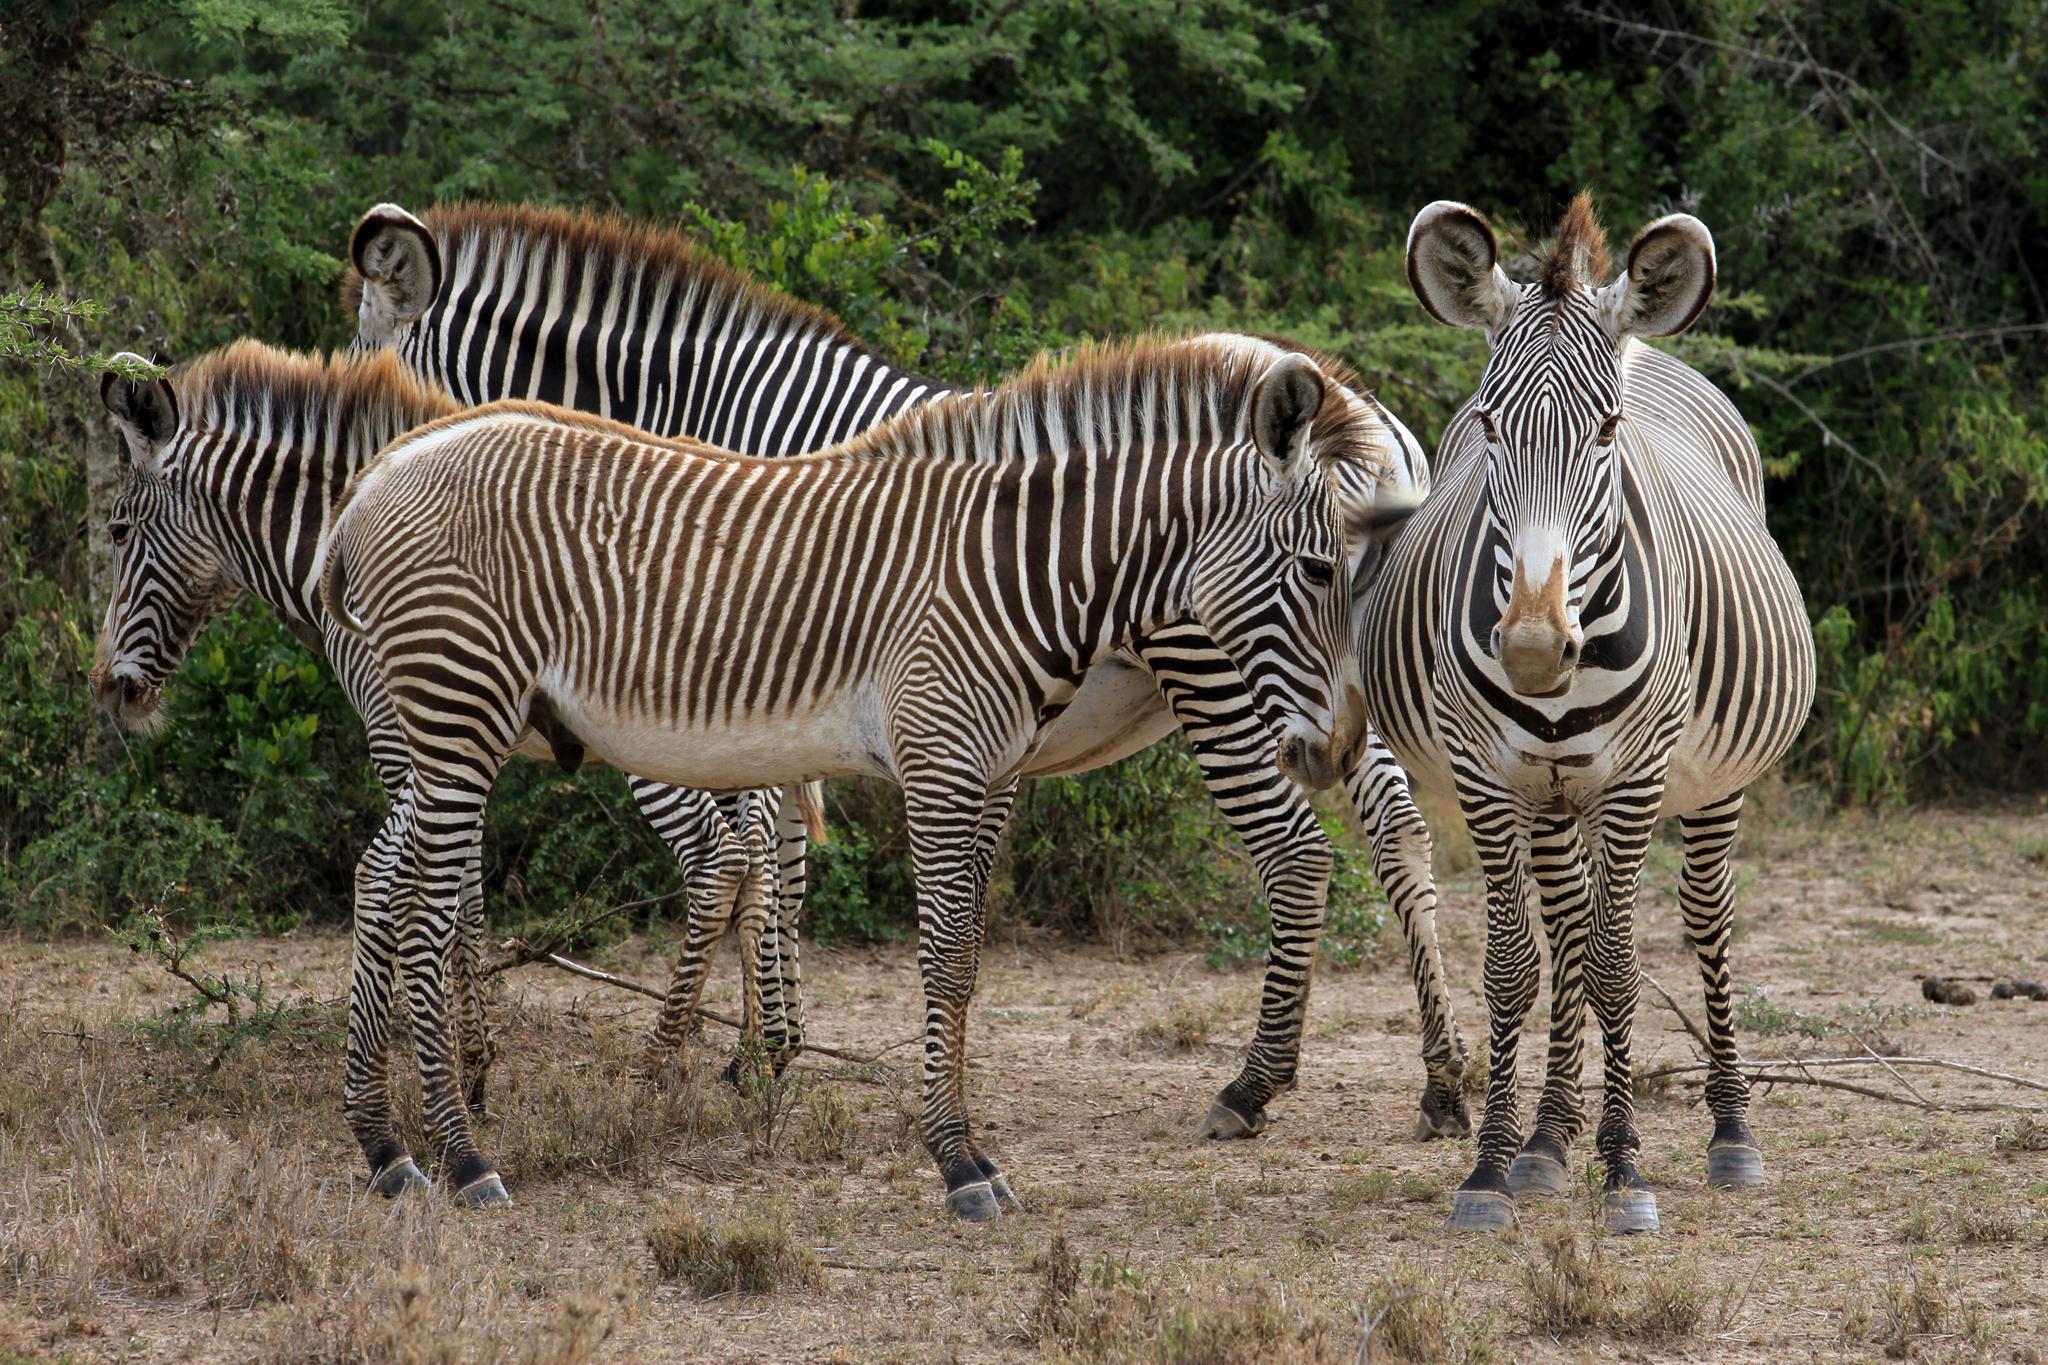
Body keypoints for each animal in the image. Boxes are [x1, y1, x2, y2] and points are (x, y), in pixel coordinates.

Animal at [348, 202, 1474, 1146]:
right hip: (1337, 696)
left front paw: (756, 1049)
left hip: (1224, 679)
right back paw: (1442, 1081)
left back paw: (1252, 1084)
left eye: (366, 354)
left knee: (1296, 856)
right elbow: (787, 854)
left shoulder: (743, 662)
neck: (711, 410)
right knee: (1397, 832)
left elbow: (763, 852)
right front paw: (771, 1046)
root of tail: (1362, 417)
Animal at [1359, 194, 1826, 1236]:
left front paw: (1626, 1173)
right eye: (1490, 426)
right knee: (1568, 922)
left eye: (1606, 431)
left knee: (1704, 917)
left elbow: (1619, 966)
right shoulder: (1489, 778)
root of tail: (1644, 343)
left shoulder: (1636, 777)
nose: (1534, 647)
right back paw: (1546, 1139)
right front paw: (1495, 1168)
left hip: (1712, 781)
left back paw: (1730, 1130)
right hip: (1551, 795)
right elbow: (1514, 965)